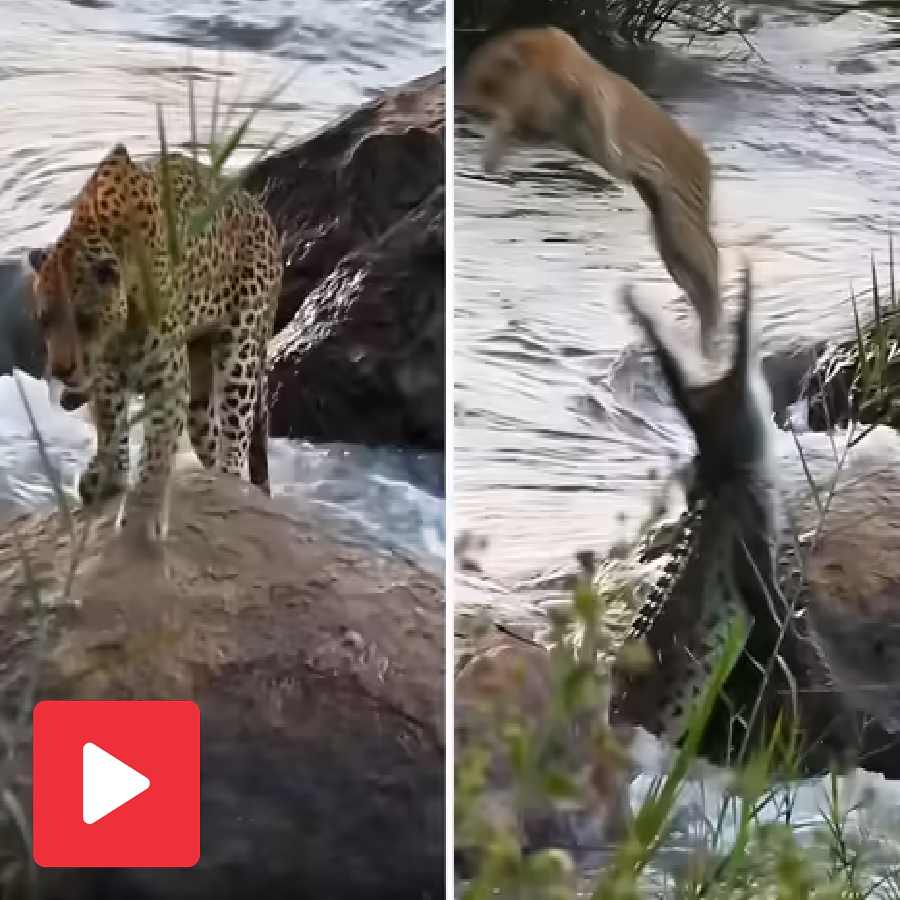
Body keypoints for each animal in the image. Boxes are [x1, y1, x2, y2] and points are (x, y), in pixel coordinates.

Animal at [28, 143, 282, 542]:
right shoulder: (105, 376)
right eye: (44, 320)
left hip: (241, 350)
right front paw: (109, 478)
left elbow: (156, 449)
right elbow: (111, 427)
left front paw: (140, 515)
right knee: (208, 433)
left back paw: (230, 483)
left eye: (84, 320)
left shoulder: (167, 379)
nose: (61, 370)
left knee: (236, 432)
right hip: (199, 390)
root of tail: (260, 209)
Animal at [459, 26, 721, 357]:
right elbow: (521, 128)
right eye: (473, 75)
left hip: (682, 211)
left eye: (483, 81)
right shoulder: (545, 120)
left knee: (705, 253)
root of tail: (704, 159)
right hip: (664, 227)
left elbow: (600, 118)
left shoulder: (585, 90)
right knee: (685, 265)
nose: (463, 104)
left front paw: (616, 154)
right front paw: (491, 157)